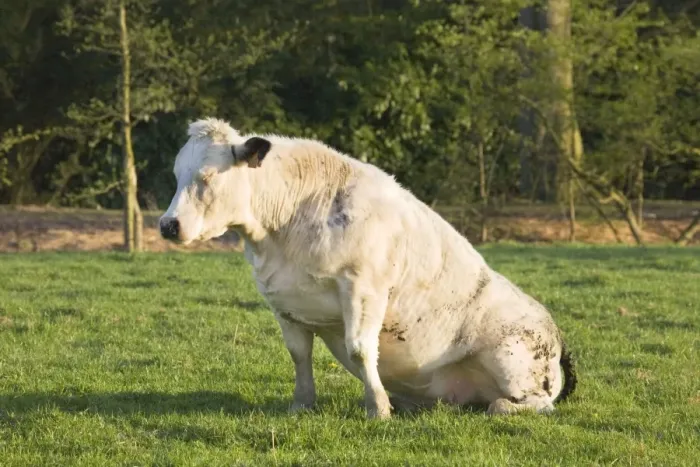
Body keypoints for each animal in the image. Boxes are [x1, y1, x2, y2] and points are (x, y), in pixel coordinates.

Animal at [159, 117, 577, 419]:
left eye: (206, 177)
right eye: (176, 176)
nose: (168, 225)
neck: (286, 232)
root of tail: (556, 336)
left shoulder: (365, 288)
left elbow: (361, 350)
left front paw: (378, 408)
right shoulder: (283, 302)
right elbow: (299, 355)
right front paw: (301, 405)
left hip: (513, 358)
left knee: (526, 404)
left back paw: (498, 404)